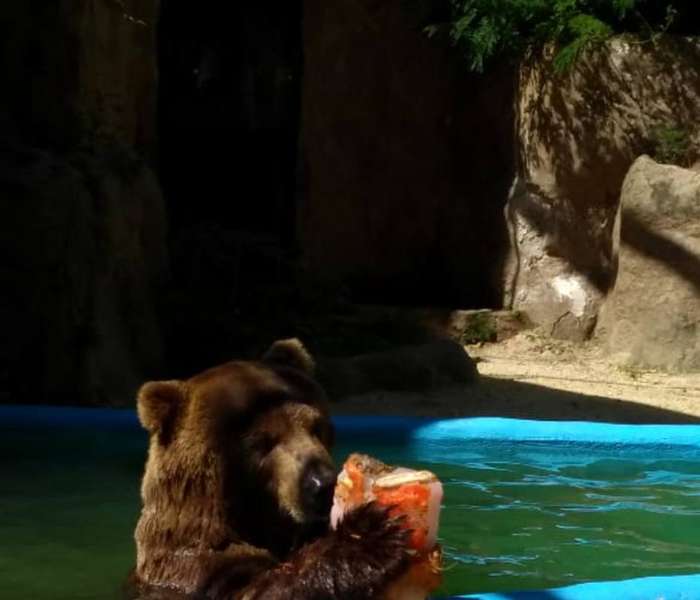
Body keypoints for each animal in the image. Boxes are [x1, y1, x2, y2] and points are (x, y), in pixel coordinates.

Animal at [133, 340, 410, 596]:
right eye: (261, 443)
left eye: (315, 425)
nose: (323, 482)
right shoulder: (198, 568)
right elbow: (259, 589)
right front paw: (370, 532)